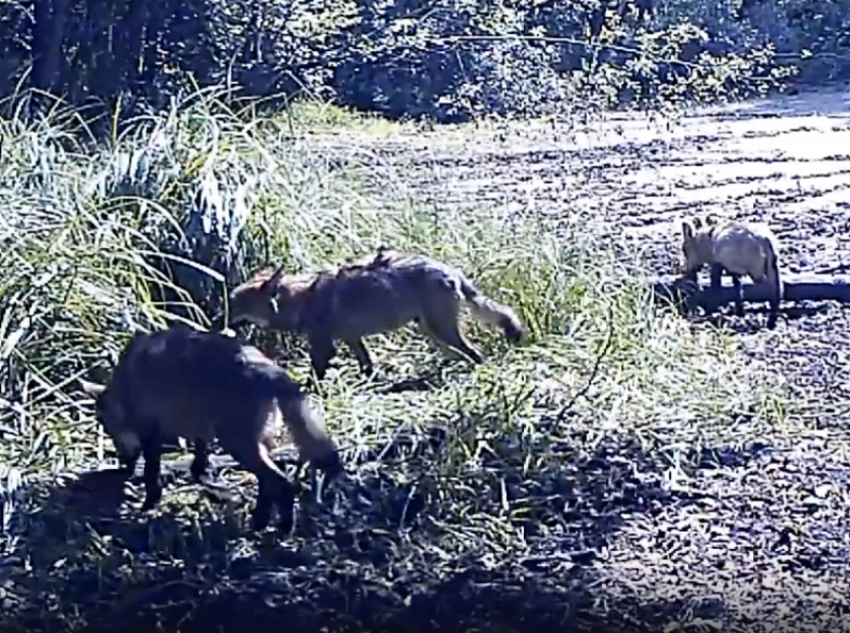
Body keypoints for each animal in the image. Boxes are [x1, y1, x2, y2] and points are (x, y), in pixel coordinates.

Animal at [78, 326, 342, 532]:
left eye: (109, 432)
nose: (123, 466)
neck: (122, 387)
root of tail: (270, 369)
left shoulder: (150, 431)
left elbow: (153, 472)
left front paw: (148, 503)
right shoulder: (199, 427)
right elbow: (198, 463)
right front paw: (207, 482)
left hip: (236, 440)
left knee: (281, 481)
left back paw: (280, 527)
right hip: (255, 439)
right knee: (274, 476)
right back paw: (261, 520)